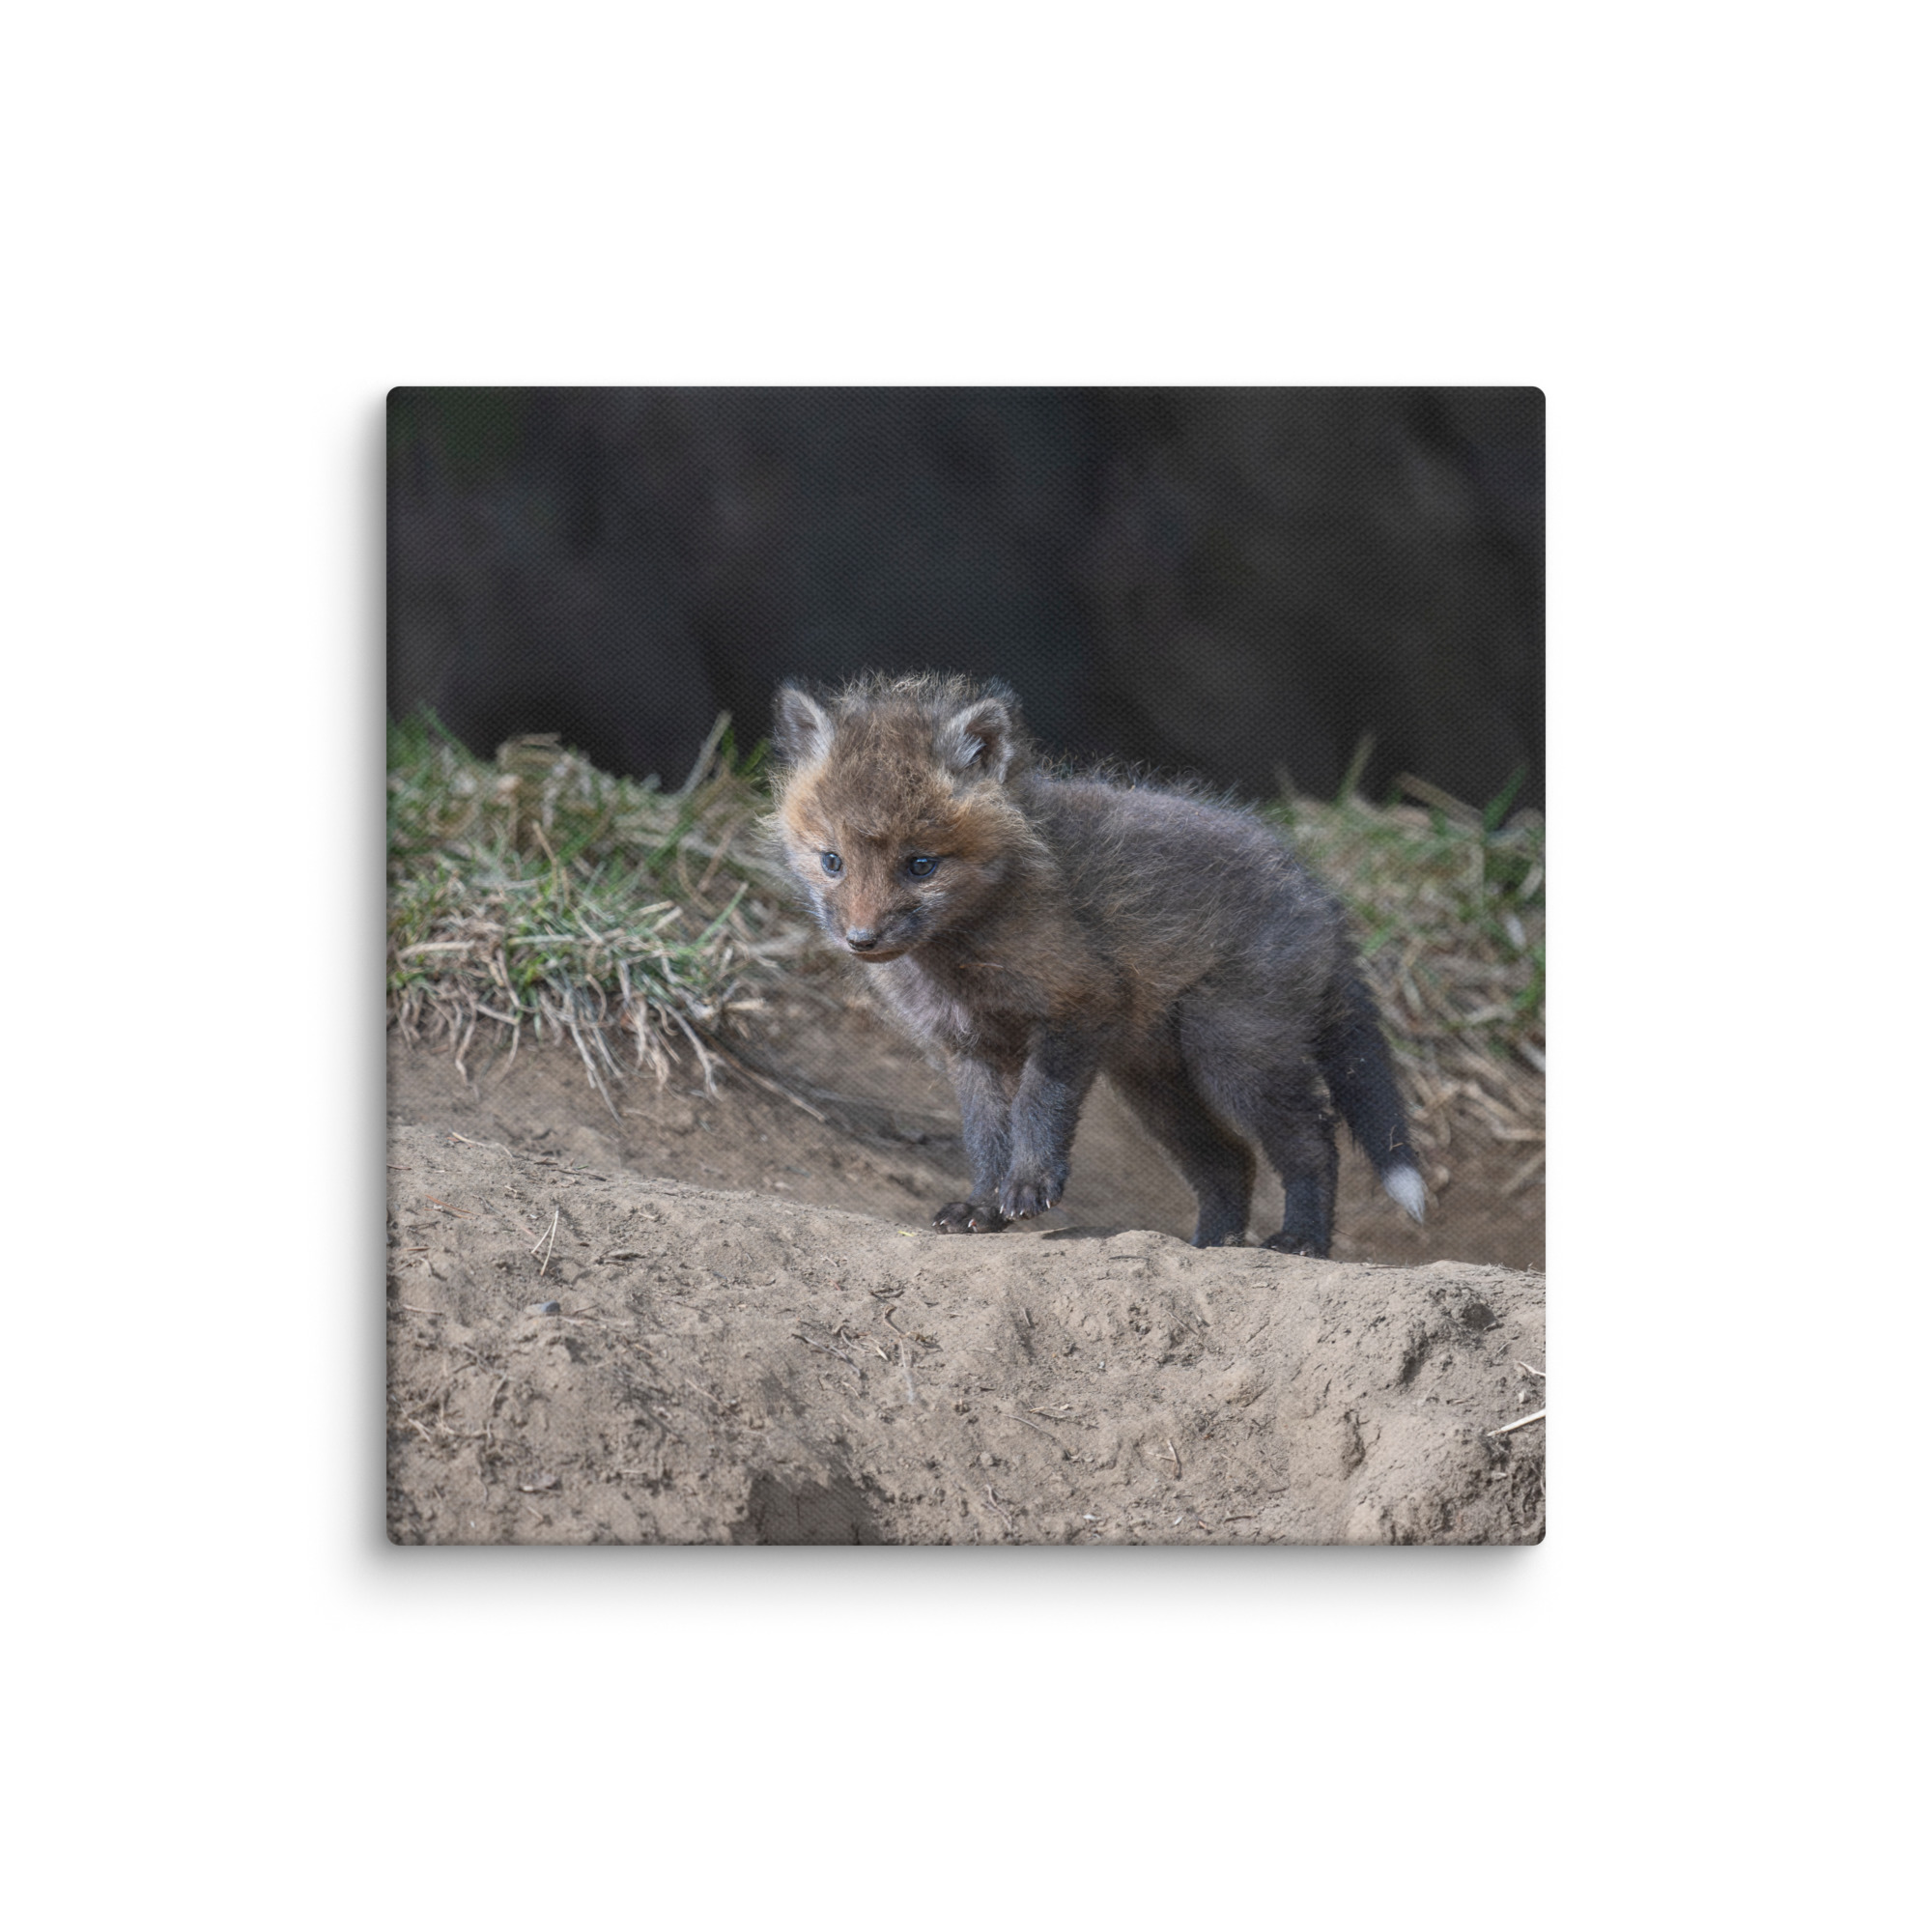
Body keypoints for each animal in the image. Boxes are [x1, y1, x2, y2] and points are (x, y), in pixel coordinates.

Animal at [770, 672, 1426, 1256]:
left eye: (921, 865)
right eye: (832, 861)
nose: (861, 939)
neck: (960, 959)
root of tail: (1319, 895)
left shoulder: (1079, 1003)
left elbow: (1038, 1106)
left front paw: (1029, 1185)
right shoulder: (969, 1046)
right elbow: (985, 1137)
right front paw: (983, 1206)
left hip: (1233, 1053)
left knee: (1313, 1141)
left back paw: (1302, 1240)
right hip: (1155, 1085)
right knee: (1230, 1162)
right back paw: (1212, 1246)